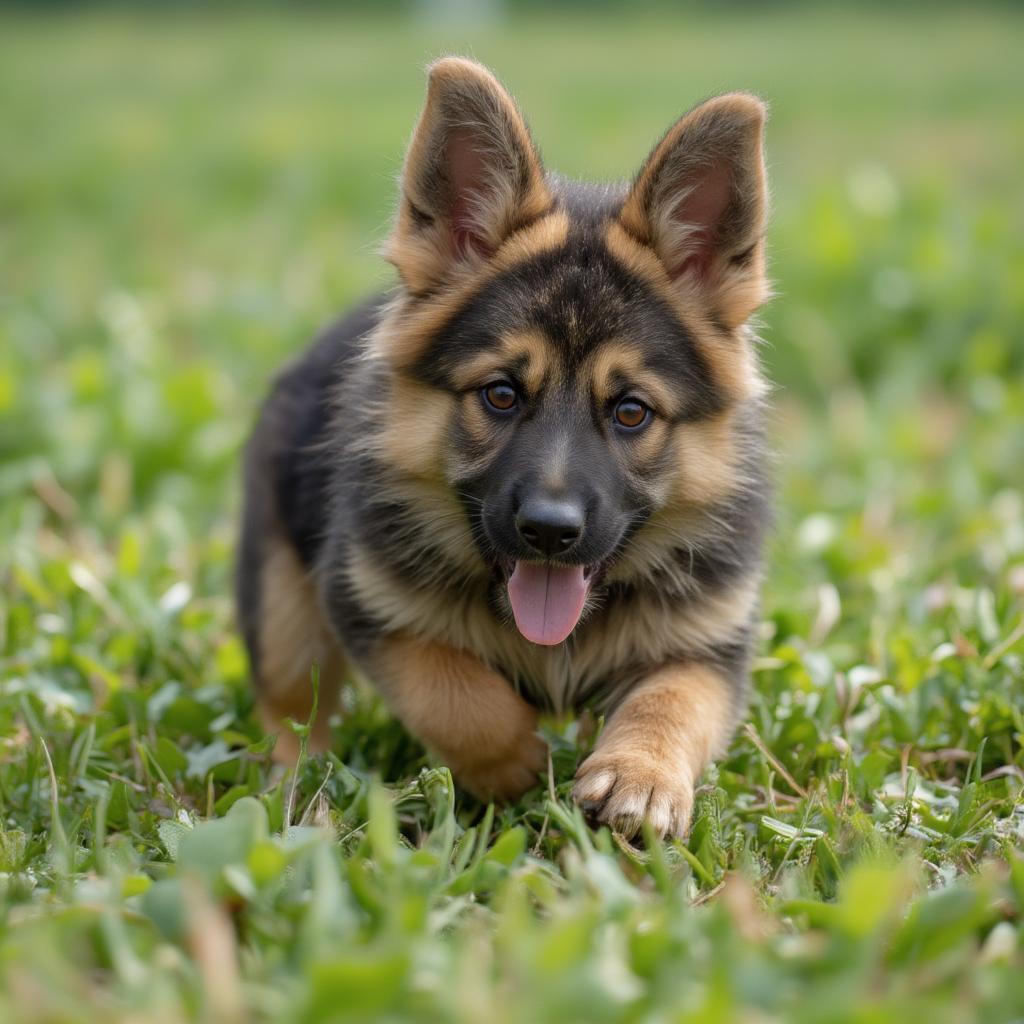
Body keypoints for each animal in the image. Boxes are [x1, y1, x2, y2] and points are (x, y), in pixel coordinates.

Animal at [239, 56, 770, 835]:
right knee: (290, 706)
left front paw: (639, 776)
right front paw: (516, 763)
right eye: (500, 395)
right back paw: (293, 785)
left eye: (631, 412)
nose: (548, 533)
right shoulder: (366, 600)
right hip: (282, 611)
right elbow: (452, 692)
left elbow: (672, 702)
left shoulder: (706, 643)